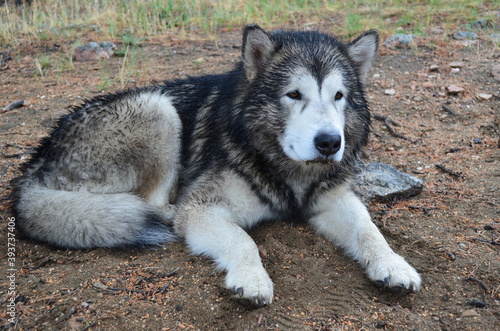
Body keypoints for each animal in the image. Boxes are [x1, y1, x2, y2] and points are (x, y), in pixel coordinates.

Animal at [10, 24, 422, 308]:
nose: (329, 143)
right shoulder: (204, 207)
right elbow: (243, 240)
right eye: (293, 94)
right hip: (158, 108)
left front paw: (393, 265)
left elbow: (369, 230)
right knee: (154, 205)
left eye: (339, 96)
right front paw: (252, 279)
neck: (286, 171)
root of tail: (34, 164)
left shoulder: (333, 200)